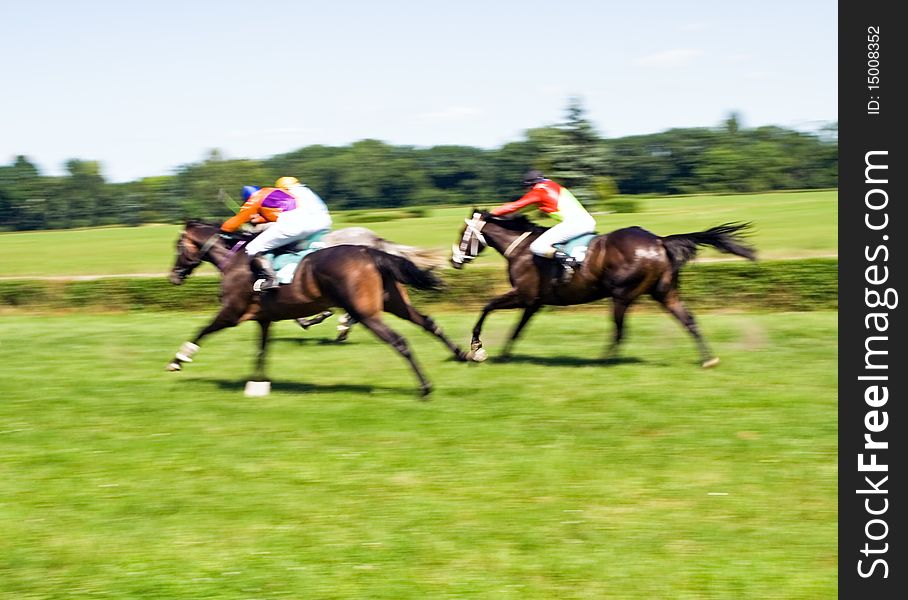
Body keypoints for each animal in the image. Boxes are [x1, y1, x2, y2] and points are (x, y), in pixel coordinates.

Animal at [168, 220, 468, 398]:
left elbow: (203, 330)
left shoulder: (231, 313)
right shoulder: (265, 318)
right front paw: (258, 383)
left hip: (365, 311)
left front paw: (179, 359)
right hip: (395, 303)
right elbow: (262, 351)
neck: (236, 259)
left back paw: (425, 387)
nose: (173, 277)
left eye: (178, 245)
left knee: (399, 341)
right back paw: (464, 355)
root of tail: (369, 250)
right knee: (428, 322)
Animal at [450, 211, 756, 370]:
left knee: (620, 331)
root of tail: (659, 240)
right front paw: (504, 354)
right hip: (664, 293)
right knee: (688, 319)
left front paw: (477, 348)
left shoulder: (523, 295)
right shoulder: (534, 302)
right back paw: (708, 359)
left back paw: (601, 361)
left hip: (622, 294)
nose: (454, 260)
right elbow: (518, 329)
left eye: (463, 236)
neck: (522, 249)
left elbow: (487, 306)